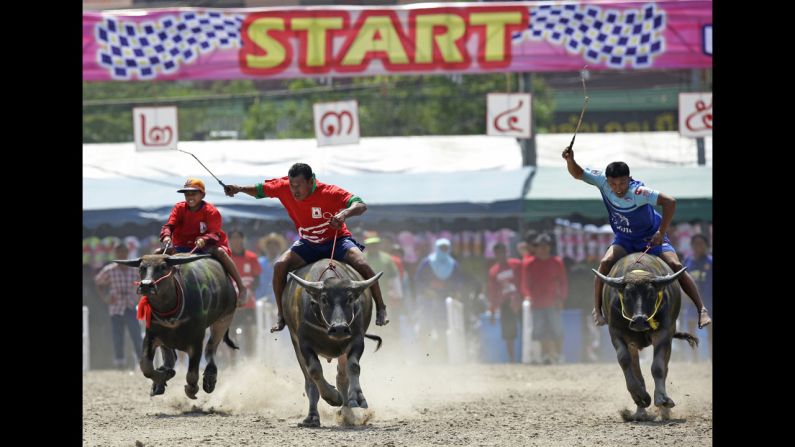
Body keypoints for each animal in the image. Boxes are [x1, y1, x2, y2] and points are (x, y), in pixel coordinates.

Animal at [115, 254, 238, 400]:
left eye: (163, 267)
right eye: (141, 267)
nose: (146, 285)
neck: (170, 314)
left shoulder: (197, 340)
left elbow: (192, 374)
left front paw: (191, 389)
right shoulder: (151, 335)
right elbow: (146, 366)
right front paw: (163, 377)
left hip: (224, 318)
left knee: (211, 349)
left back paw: (209, 379)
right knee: (170, 357)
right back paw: (162, 379)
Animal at [282, 260, 386, 428]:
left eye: (350, 298)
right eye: (324, 299)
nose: (339, 328)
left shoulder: (357, 340)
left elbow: (353, 367)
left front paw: (357, 398)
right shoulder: (303, 343)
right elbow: (315, 371)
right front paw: (332, 397)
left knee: (342, 377)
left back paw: (347, 411)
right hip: (295, 344)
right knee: (309, 382)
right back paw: (312, 417)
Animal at [592, 254, 700, 422]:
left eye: (651, 293)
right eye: (627, 293)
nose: (639, 320)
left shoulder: (663, 334)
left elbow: (658, 367)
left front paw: (661, 399)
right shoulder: (616, 333)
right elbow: (624, 361)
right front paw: (640, 397)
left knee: (664, 368)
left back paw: (664, 411)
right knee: (637, 372)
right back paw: (640, 412)